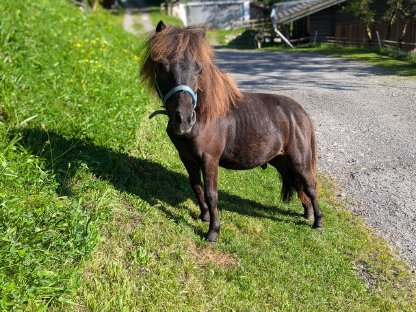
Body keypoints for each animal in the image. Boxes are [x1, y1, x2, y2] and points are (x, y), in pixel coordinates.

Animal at [140, 22, 322, 243]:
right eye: (160, 67)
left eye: (198, 69)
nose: (183, 119)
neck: (205, 117)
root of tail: (301, 112)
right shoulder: (187, 158)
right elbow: (196, 187)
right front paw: (204, 216)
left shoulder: (209, 159)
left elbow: (211, 194)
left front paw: (213, 232)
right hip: (281, 161)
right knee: (299, 185)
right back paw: (308, 213)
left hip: (299, 161)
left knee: (310, 186)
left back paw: (318, 221)